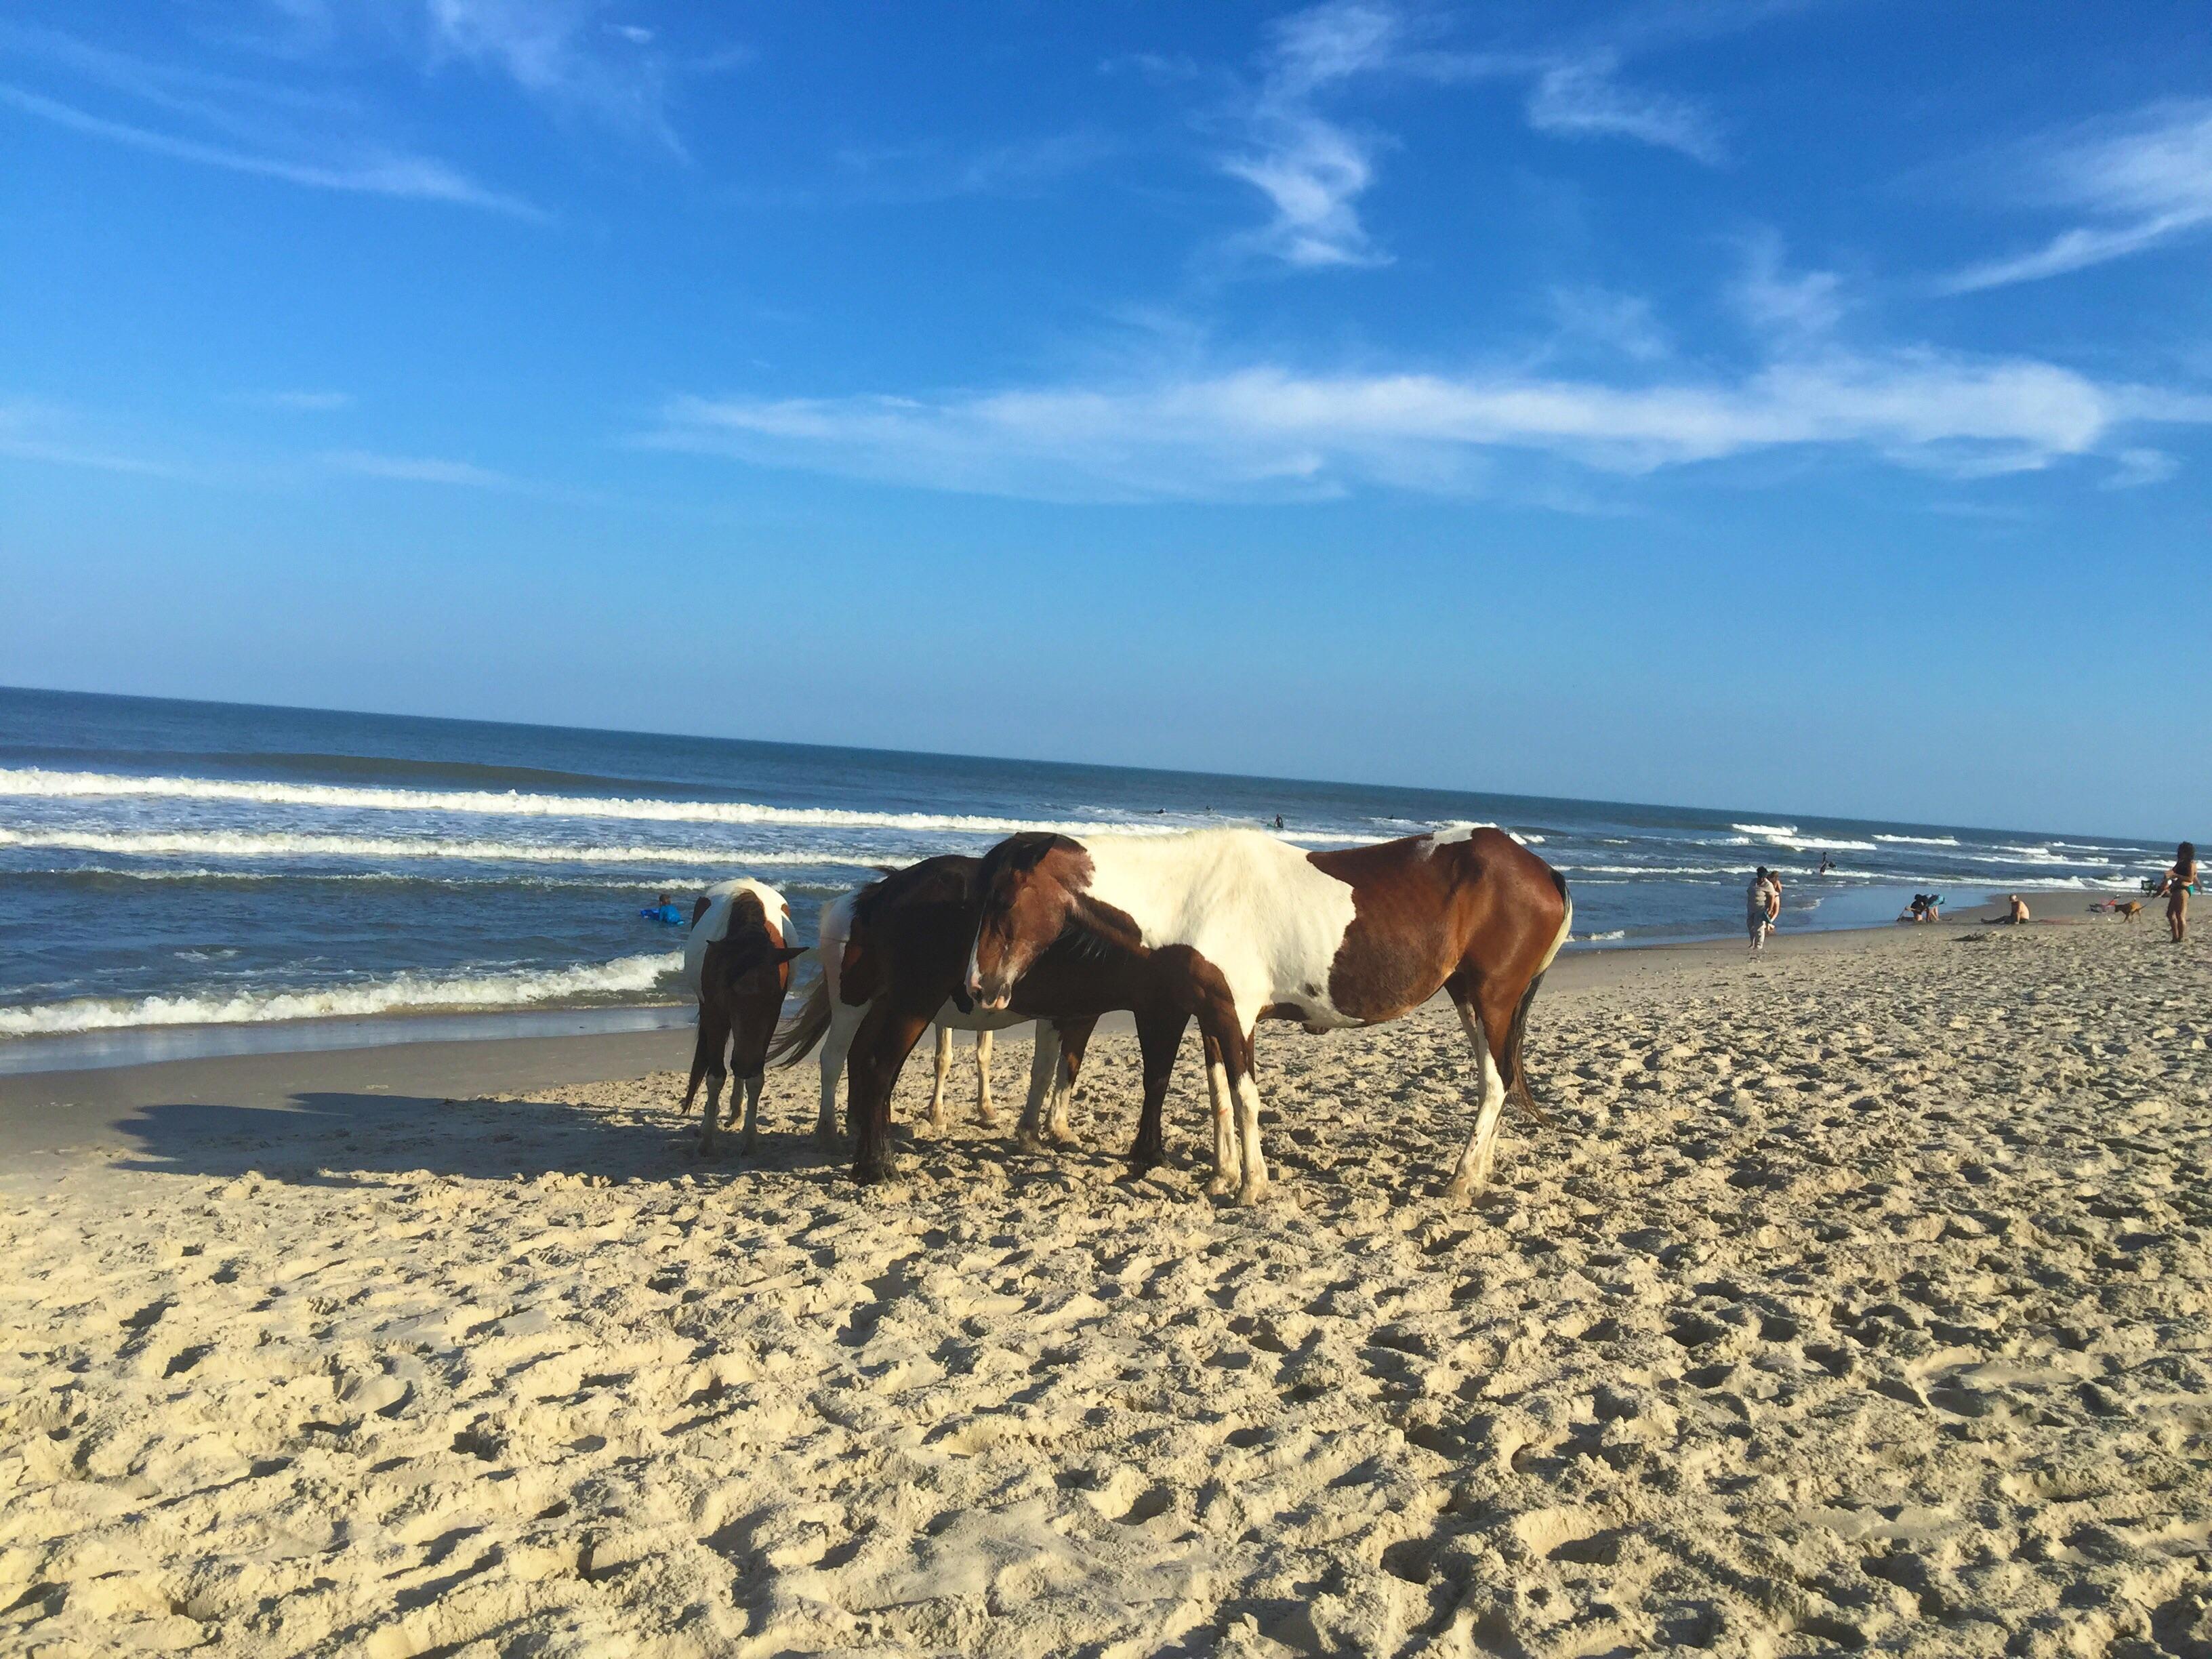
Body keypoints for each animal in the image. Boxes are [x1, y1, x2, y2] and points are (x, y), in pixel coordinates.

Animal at [681, 876, 814, 1159]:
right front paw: (707, 1141)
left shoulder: (770, 1018)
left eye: (774, 993)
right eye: (730, 990)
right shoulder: (716, 1014)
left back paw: (736, 1110)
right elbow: (715, 1077)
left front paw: (750, 1140)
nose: (745, 1065)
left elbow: (756, 1080)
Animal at [968, 827, 1574, 1212]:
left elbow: (1245, 1098)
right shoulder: (1212, 1014)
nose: (980, 987)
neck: (1192, 895)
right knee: (1499, 1080)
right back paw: (1480, 1176)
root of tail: (1544, 870)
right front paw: (1222, 1176)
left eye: (1005, 900)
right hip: (1470, 998)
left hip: (1490, 999)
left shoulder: (1235, 1014)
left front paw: (1252, 1186)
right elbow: (1219, 1094)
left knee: (1494, 1085)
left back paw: (1461, 1180)